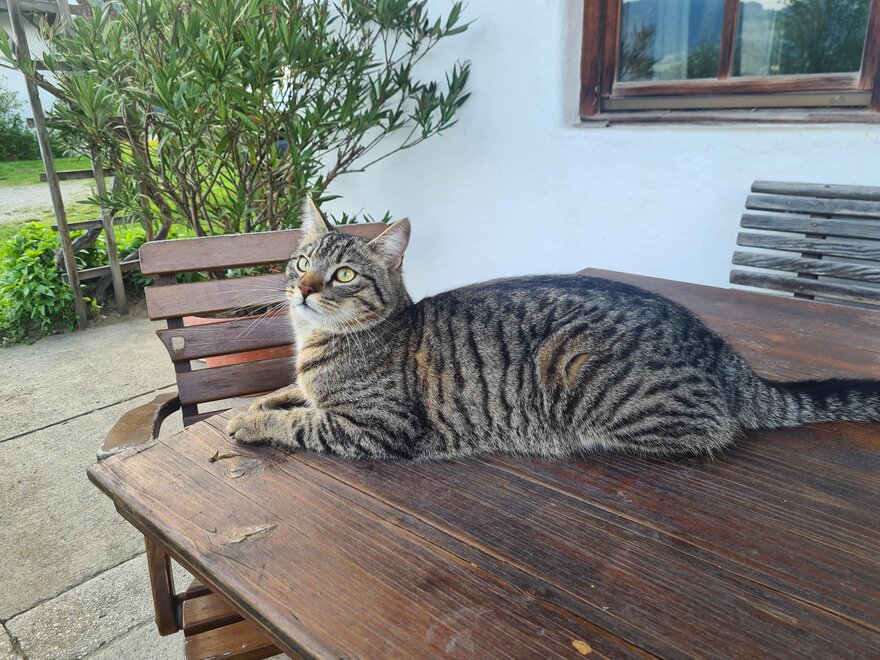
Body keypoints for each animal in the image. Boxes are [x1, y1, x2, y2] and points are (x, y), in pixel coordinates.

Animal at [227, 198, 880, 460]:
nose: (305, 289)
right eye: (300, 263)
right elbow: (286, 393)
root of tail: (717, 345)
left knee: (714, 430)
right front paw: (249, 404)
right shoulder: (310, 387)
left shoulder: (376, 429)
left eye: (342, 274)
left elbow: (299, 421)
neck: (316, 345)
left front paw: (249, 422)